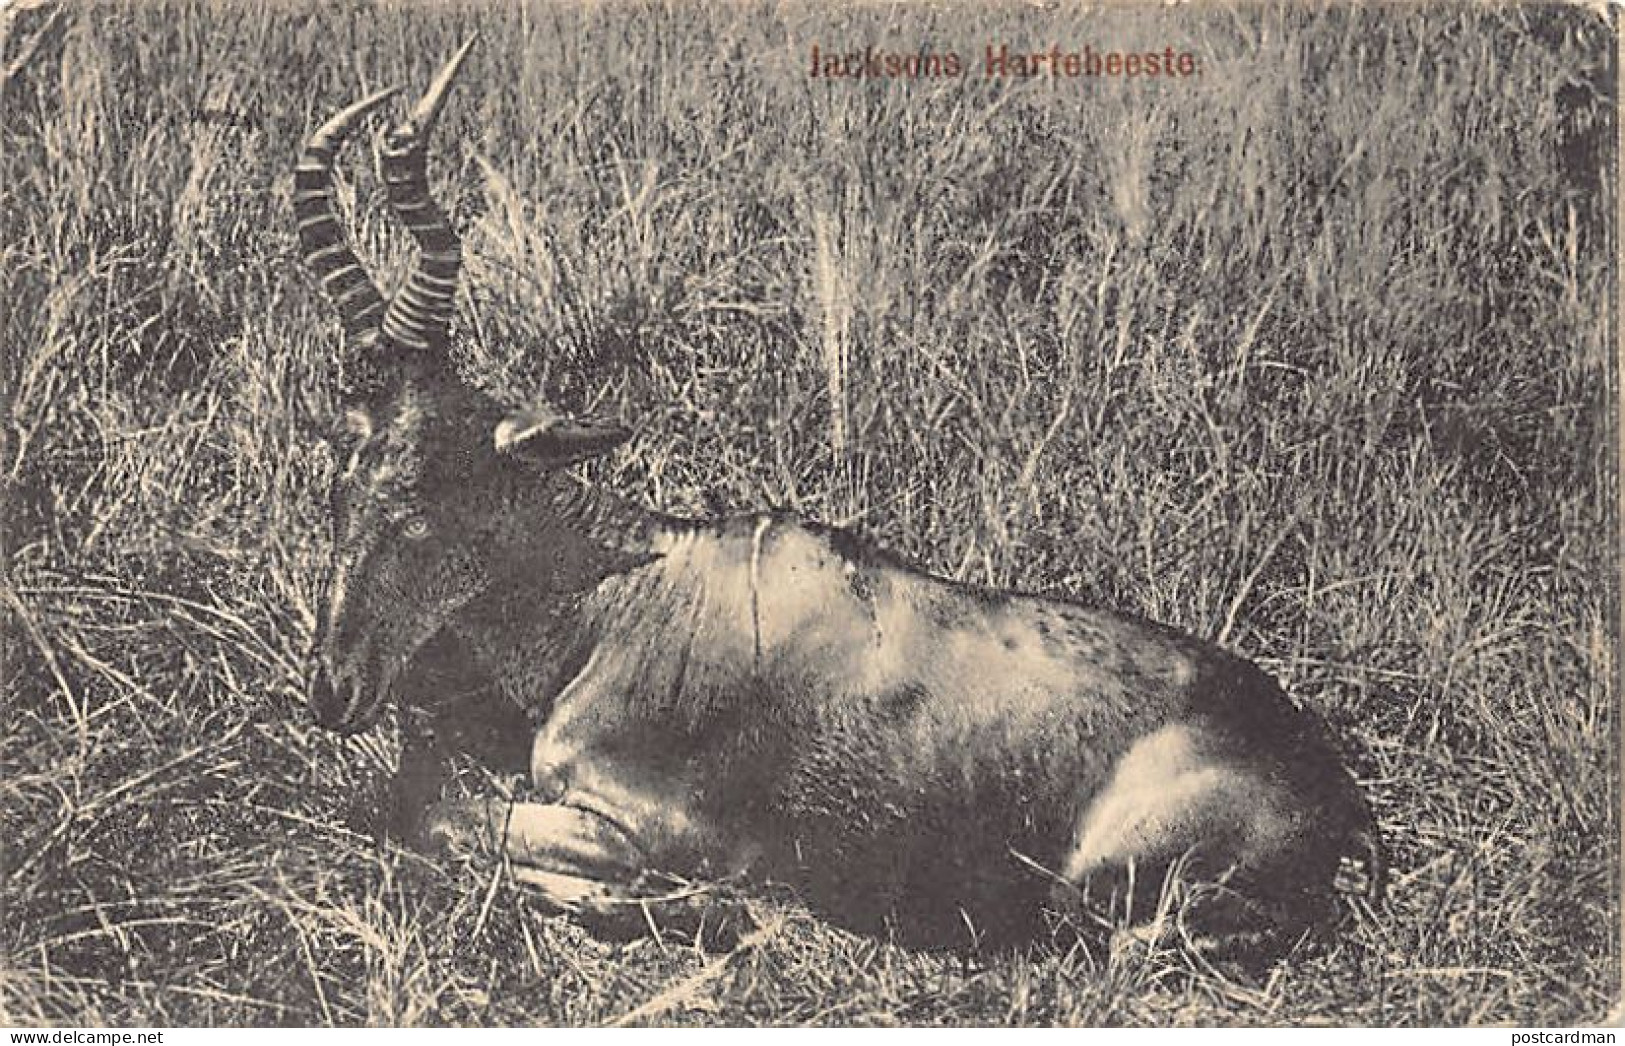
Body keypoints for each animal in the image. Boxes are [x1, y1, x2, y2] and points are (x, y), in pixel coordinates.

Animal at [296, 39, 1382, 957]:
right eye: (343, 463)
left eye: (437, 481)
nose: (334, 688)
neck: (630, 600)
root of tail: (1330, 789)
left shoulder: (650, 824)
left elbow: (457, 820)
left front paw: (705, 908)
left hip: (1102, 894)